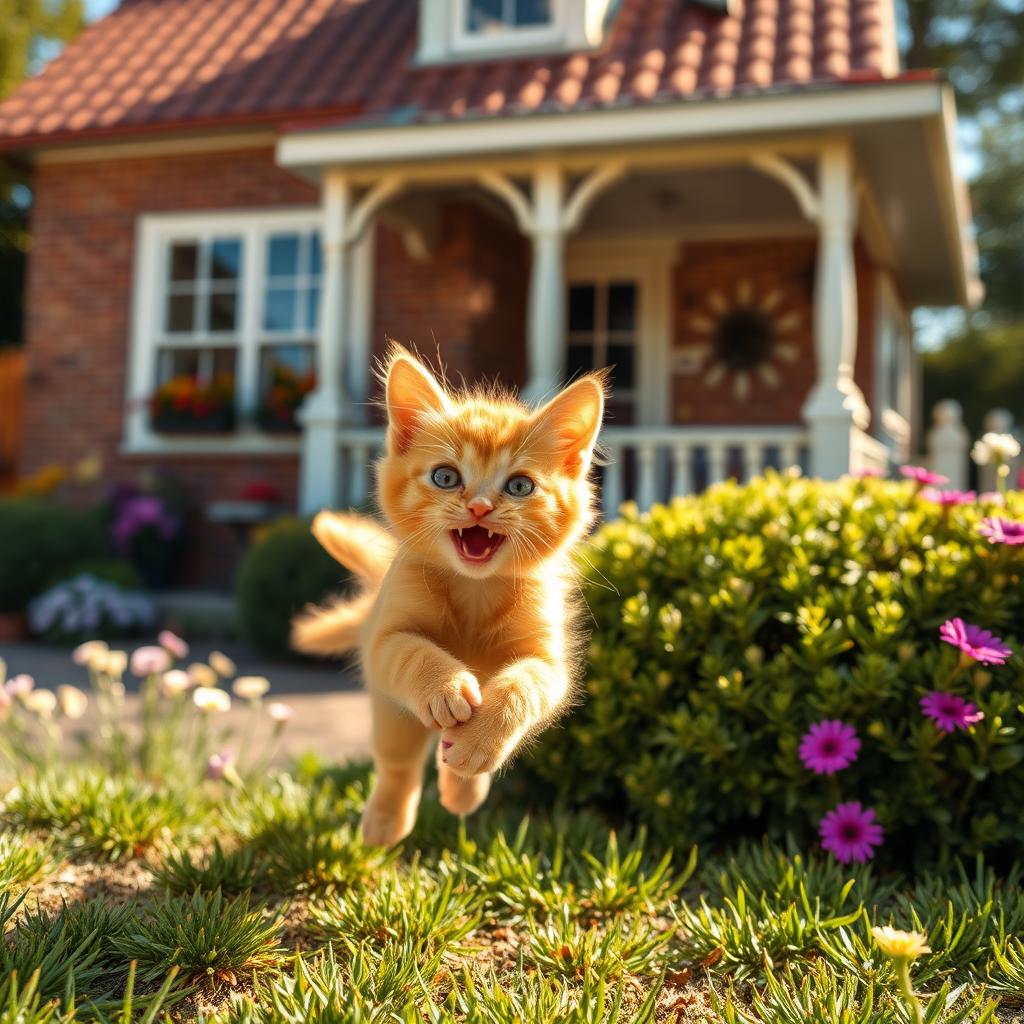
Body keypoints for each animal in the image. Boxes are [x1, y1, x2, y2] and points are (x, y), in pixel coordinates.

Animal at [292, 348, 602, 843]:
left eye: (520, 486)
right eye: (445, 477)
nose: (479, 507)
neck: (475, 590)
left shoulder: (549, 662)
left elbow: (526, 685)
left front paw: (482, 739)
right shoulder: (384, 638)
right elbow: (413, 651)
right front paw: (446, 686)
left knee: (451, 760)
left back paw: (464, 782)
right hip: (391, 710)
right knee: (397, 763)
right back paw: (384, 822)